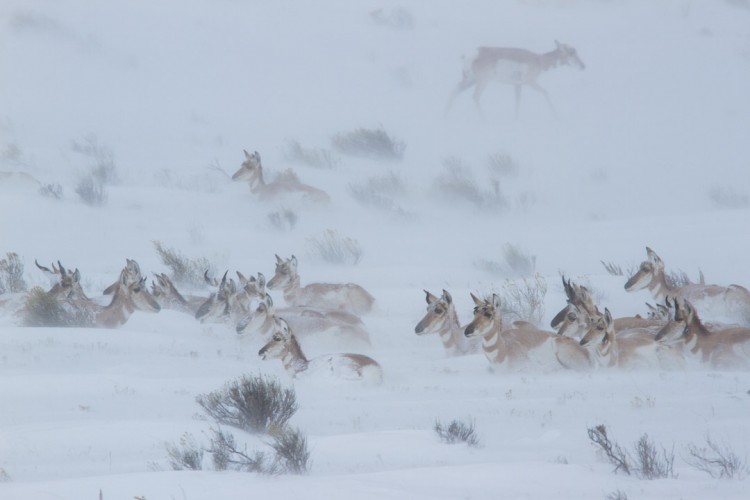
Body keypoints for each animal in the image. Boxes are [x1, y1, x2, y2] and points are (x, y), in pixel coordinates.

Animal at [446, 40, 588, 118]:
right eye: (571, 52)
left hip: (469, 80)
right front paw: (557, 116)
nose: (583, 66)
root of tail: (470, 54)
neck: (539, 60)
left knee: (454, 91)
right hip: (483, 81)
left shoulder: (518, 85)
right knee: (475, 96)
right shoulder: (530, 82)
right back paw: (484, 119)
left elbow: (518, 100)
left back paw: (445, 115)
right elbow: (545, 92)